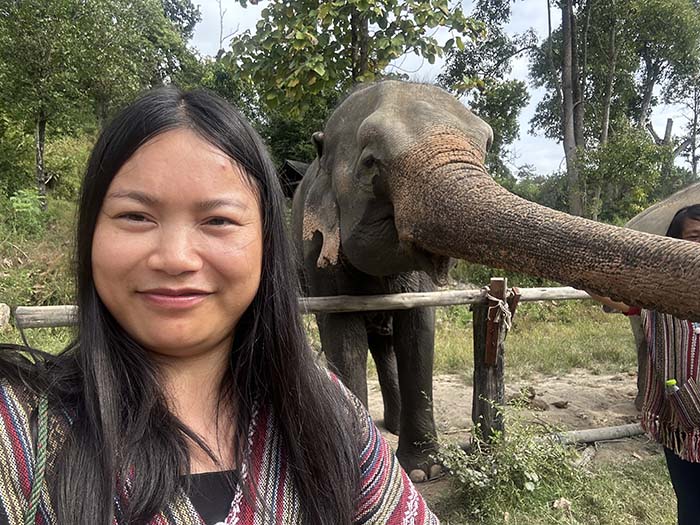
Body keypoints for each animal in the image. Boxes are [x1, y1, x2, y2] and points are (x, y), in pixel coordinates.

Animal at [291, 80, 700, 481]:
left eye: (486, 147)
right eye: (369, 163)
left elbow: (419, 330)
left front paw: (425, 470)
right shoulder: (316, 253)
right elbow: (343, 339)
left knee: (387, 342)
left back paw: (391, 426)